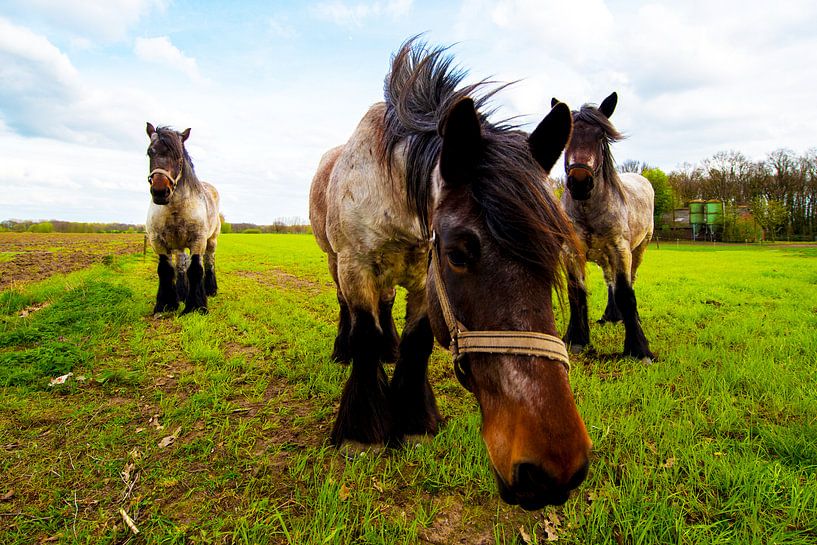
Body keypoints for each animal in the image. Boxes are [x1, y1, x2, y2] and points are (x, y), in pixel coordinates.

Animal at [145, 123, 221, 315]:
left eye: (179, 156)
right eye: (150, 152)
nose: (160, 191)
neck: (175, 209)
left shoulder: (198, 241)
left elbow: (195, 270)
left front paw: (196, 306)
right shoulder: (157, 242)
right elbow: (165, 270)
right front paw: (166, 304)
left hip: (211, 241)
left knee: (209, 262)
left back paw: (210, 289)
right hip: (178, 245)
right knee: (180, 266)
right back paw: (181, 293)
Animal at [310, 39, 591, 509]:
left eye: (554, 249)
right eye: (458, 253)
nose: (555, 468)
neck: (389, 186)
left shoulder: (422, 276)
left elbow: (416, 342)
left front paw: (414, 421)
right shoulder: (356, 266)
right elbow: (364, 335)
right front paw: (363, 431)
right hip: (336, 263)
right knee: (348, 310)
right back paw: (342, 349)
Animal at [553, 93, 655, 361]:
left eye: (600, 136)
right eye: (566, 136)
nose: (580, 182)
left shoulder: (620, 249)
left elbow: (626, 294)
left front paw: (639, 348)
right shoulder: (571, 253)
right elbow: (576, 292)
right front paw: (576, 338)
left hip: (638, 250)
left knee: (629, 280)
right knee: (610, 282)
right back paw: (611, 315)